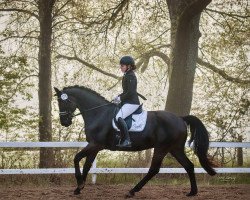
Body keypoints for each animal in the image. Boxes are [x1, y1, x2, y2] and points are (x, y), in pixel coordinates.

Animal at [53, 85, 216, 198]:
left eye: (63, 103)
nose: (64, 122)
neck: (98, 113)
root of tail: (181, 118)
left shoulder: (94, 145)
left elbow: (76, 159)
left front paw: (79, 183)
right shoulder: (95, 146)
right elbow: (87, 165)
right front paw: (79, 188)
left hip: (162, 148)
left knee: (154, 170)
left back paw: (132, 191)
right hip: (175, 148)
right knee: (189, 166)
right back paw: (192, 192)